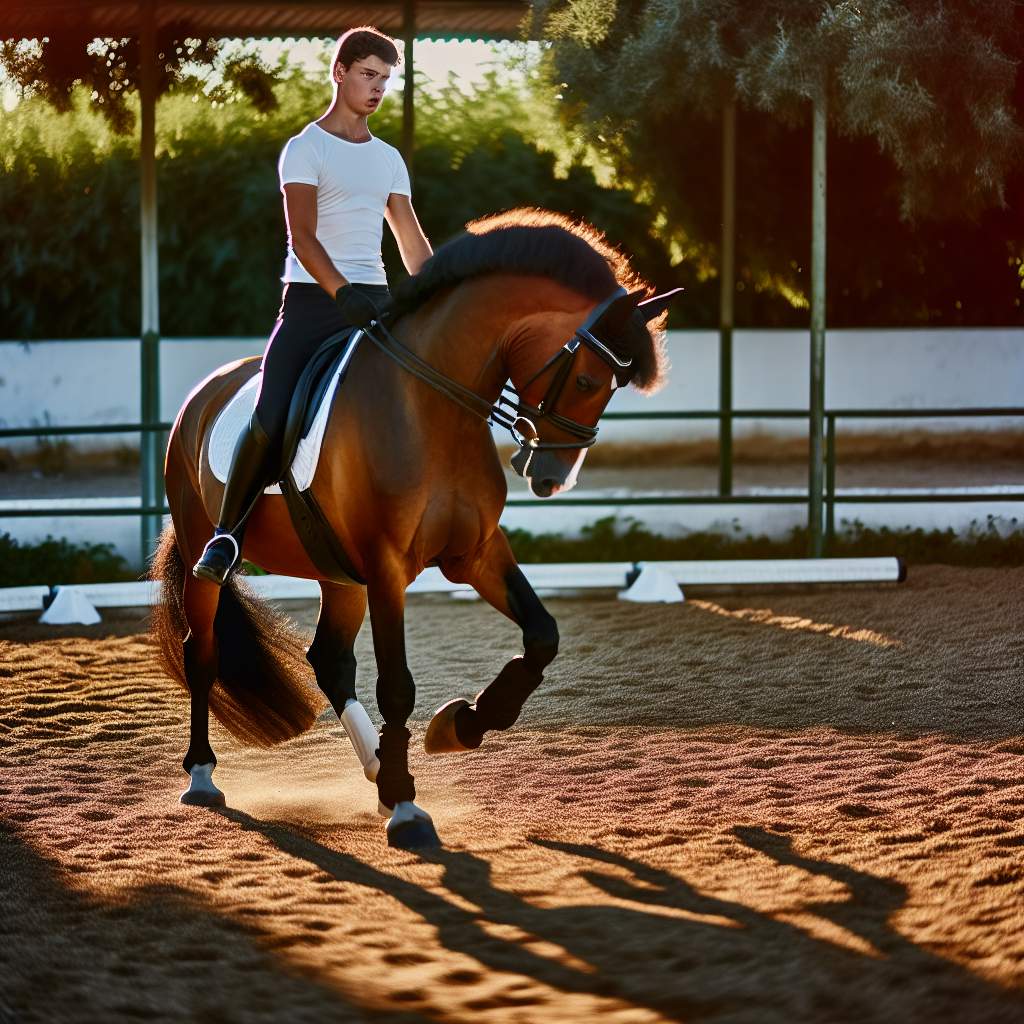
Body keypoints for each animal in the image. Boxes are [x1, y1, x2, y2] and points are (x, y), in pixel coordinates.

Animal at [151, 207, 675, 847]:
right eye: (584, 380)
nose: (551, 476)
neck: (431, 405)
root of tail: (202, 395)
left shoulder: (476, 553)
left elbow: (542, 635)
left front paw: (459, 727)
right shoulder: (387, 568)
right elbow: (397, 684)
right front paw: (407, 806)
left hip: (338, 574)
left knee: (330, 662)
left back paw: (378, 770)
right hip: (206, 547)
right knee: (202, 652)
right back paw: (203, 776)